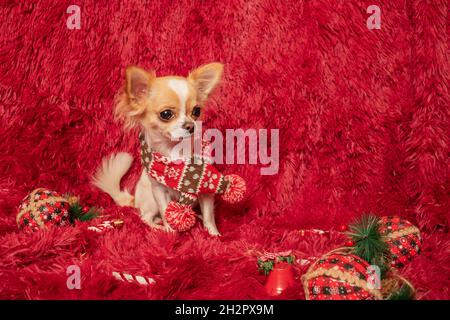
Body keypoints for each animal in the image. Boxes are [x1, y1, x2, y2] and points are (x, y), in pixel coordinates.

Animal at [92, 62, 223, 236]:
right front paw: (170, 231)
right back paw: (157, 226)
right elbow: (165, 210)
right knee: (145, 217)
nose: (191, 126)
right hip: (149, 198)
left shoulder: (205, 189)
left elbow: (209, 214)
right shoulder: (159, 190)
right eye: (166, 114)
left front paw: (213, 234)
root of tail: (135, 200)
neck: (175, 152)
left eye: (197, 111)